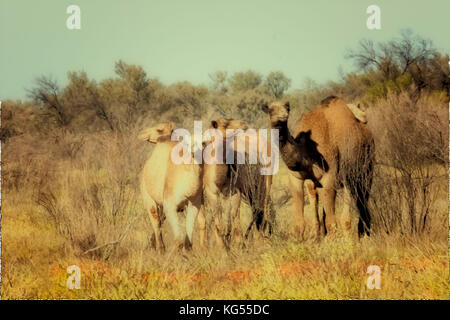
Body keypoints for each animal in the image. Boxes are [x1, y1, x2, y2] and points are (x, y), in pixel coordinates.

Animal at [139, 122, 206, 252]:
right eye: (188, 143)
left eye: (204, 143)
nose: (142, 134)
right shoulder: (170, 204)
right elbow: (179, 240)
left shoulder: (194, 203)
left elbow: (188, 240)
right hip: (147, 193)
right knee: (155, 219)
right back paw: (160, 249)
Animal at [202, 119, 272, 249]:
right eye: (227, 125)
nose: (244, 125)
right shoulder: (212, 192)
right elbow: (219, 221)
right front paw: (223, 246)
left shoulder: (235, 192)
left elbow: (233, 218)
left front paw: (238, 245)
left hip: (263, 186)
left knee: (261, 211)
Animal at [262, 96, 374, 239]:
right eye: (270, 110)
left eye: (287, 108)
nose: (283, 116)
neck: (306, 150)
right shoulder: (296, 178)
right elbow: (299, 222)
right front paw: (299, 241)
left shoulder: (329, 176)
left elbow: (331, 222)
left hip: (365, 169)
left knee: (362, 196)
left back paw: (363, 233)